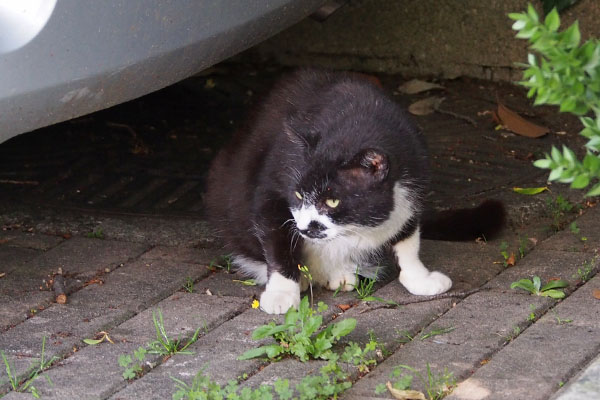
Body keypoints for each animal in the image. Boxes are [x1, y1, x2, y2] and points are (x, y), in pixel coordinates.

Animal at [204, 69, 504, 314]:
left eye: (333, 201)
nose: (305, 227)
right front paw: (281, 292)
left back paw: (339, 272)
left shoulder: (414, 180)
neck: (353, 126)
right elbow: (277, 241)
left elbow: (407, 237)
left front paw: (419, 278)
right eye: (298, 196)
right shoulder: (272, 188)